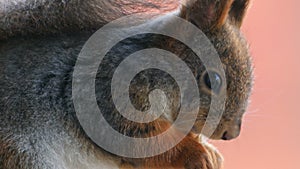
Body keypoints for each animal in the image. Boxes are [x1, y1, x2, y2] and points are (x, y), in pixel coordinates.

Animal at [0, 0, 253, 169]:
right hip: (20, 155)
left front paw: (210, 152)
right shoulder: (108, 97)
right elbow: (149, 142)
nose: (231, 133)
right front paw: (197, 153)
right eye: (212, 80)